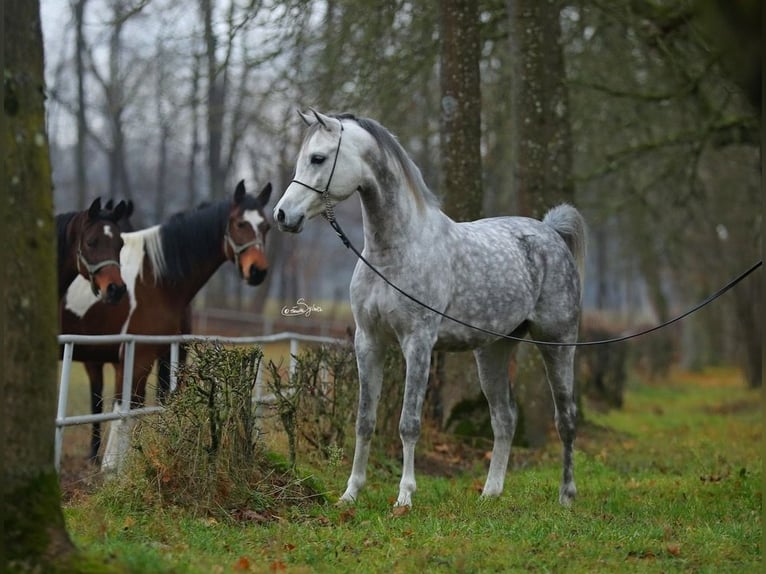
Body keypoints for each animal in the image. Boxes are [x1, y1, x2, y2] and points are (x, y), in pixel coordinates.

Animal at [63, 182, 272, 466]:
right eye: (240, 224)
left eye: (267, 226)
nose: (257, 271)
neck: (155, 278)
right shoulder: (134, 356)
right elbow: (124, 409)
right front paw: (112, 467)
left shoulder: (168, 355)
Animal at [276, 111, 588, 508]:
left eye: (318, 158)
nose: (283, 215)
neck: (394, 251)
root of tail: (550, 233)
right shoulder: (368, 342)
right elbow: (364, 420)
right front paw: (351, 493)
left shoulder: (418, 344)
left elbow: (409, 424)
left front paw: (404, 497)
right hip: (493, 351)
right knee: (504, 418)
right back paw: (490, 493)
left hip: (558, 344)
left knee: (566, 418)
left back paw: (567, 496)